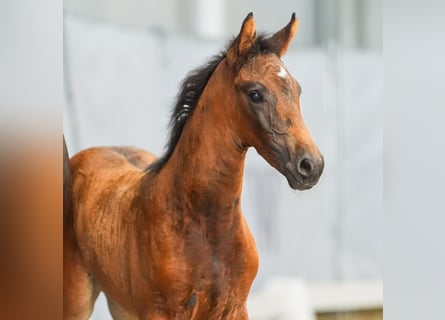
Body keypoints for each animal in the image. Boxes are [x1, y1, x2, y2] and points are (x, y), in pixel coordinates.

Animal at [63, 13, 322, 320]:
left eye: (297, 90)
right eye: (255, 93)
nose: (311, 165)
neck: (209, 228)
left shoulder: (235, 308)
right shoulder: (160, 311)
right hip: (77, 298)